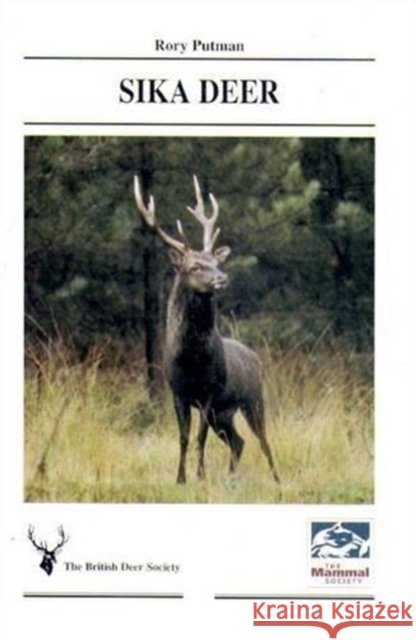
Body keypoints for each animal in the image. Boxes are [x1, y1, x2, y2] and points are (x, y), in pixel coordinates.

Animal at [134, 175, 280, 485]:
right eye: (194, 266)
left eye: (216, 261)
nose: (221, 277)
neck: (192, 359)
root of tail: (254, 356)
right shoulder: (178, 393)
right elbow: (184, 438)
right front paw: (180, 478)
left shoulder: (209, 392)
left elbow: (199, 438)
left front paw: (200, 476)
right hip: (223, 413)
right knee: (238, 441)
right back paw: (231, 478)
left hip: (252, 398)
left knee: (262, 440)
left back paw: (277, 479)